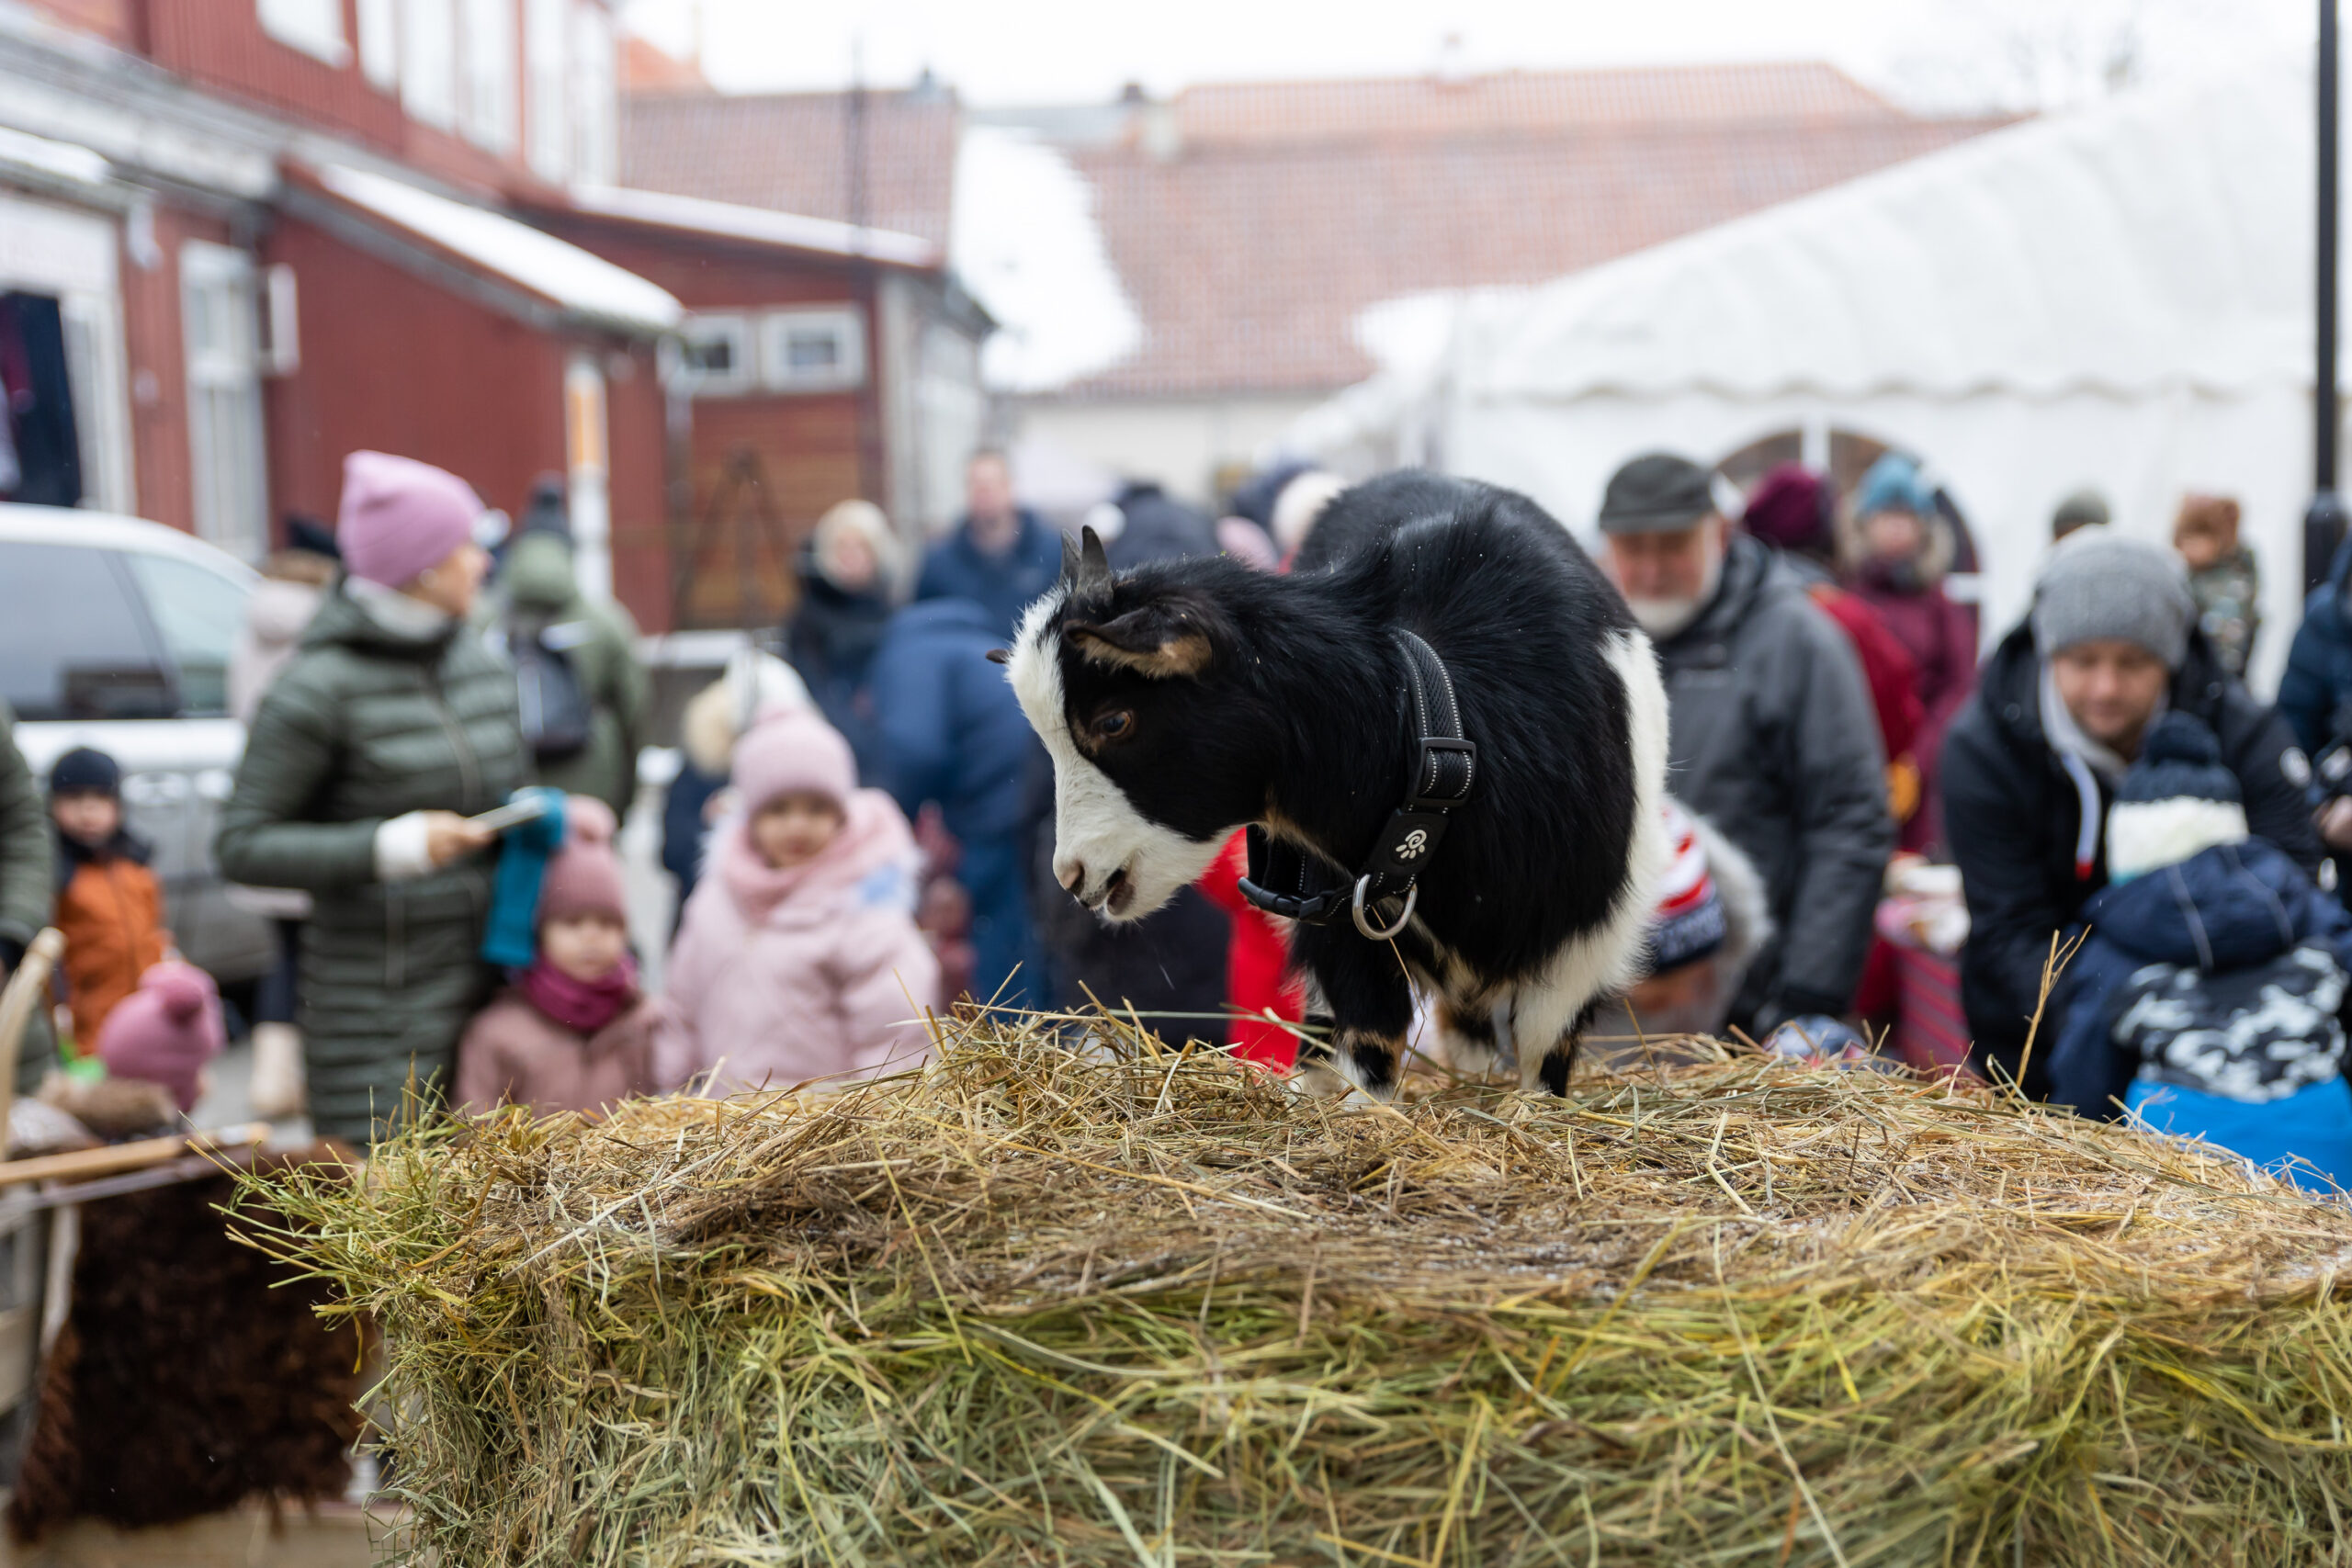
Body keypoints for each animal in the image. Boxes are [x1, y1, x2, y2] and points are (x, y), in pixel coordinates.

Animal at [1001, 472, 1665, 1100]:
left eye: (1114, 721)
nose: (1072, 875)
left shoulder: (1584, 942)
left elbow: (1545, 1053)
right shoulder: (1346, 917)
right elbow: (1369, 1040)